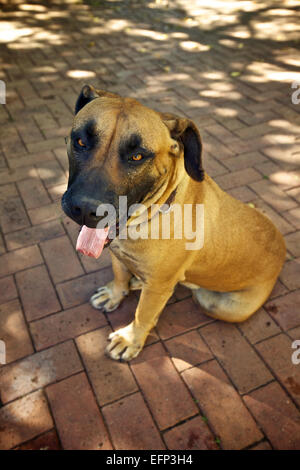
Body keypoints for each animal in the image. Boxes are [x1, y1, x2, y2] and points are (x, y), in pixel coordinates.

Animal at [61, 84, 286, 362]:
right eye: (81, 141)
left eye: (137, 156)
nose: (84, 209)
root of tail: (283, 250)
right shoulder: (118, 255)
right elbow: (119, 273)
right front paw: (116, 292)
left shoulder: (158, 286)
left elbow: (143, 314)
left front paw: (130, 339)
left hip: (219, 305)